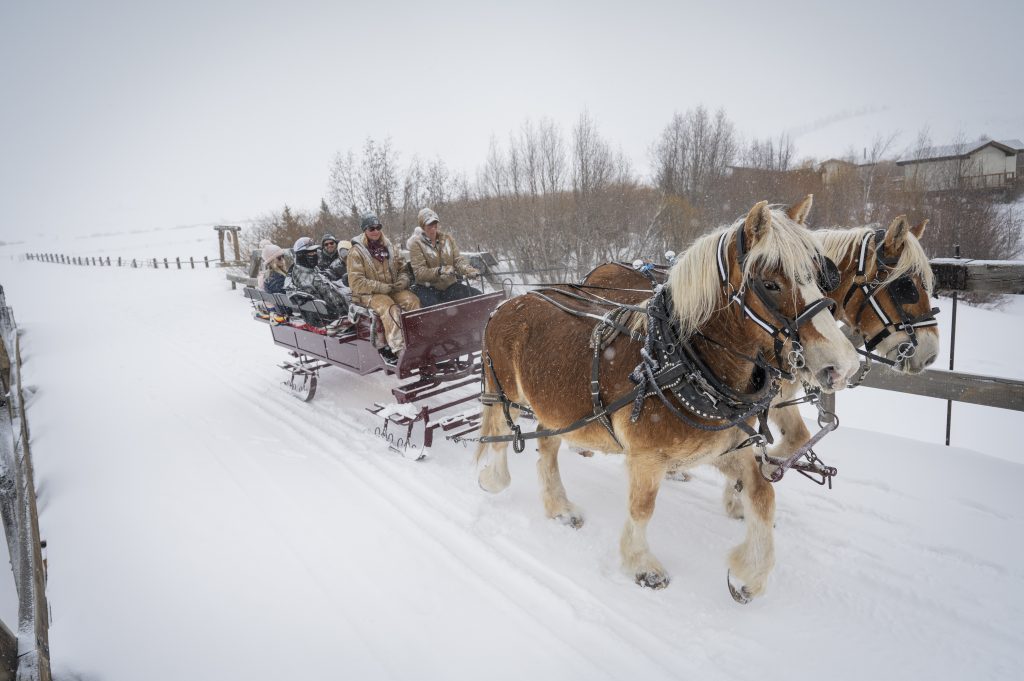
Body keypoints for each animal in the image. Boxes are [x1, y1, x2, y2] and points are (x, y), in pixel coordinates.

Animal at [474, 200, 861, 601]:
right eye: (770, 284)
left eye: (819, 276)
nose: (844, 365)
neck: (680, 361)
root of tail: (508, 303)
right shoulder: (646, 457)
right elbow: (642, 507)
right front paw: (641, 565)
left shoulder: (724, 446)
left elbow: (762, 494)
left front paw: (749, 573)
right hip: (504, 392)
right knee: (500, 433)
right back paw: (494, 478)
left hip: (556, 409)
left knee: (547, 445)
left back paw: (559, 506)